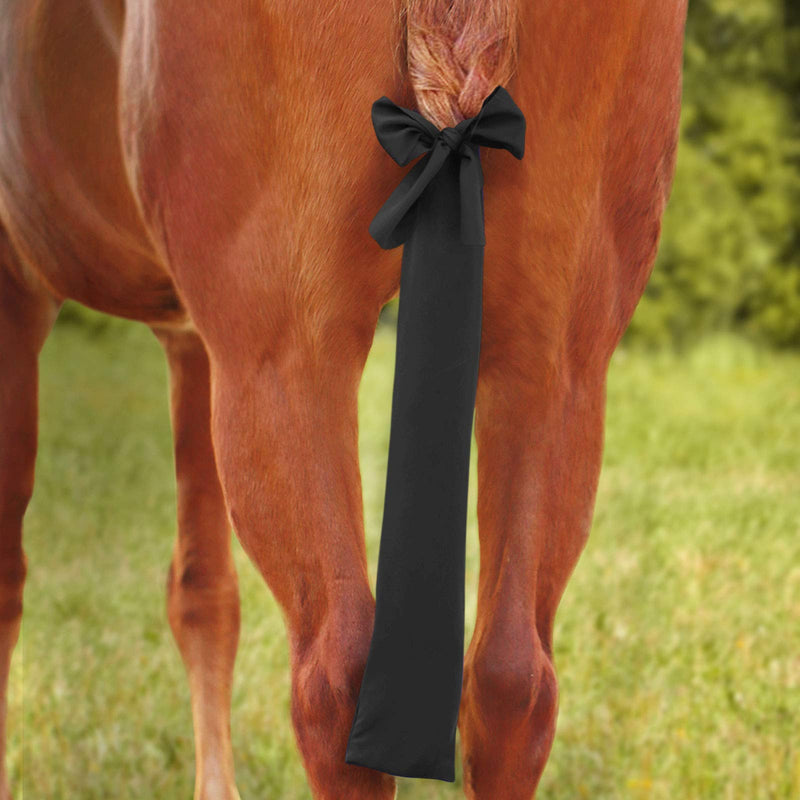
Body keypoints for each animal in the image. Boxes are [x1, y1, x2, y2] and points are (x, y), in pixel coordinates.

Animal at [0, 0, 688, 797]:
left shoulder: (22, 295)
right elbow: (204, 592)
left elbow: (12, 582)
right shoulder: (191, 341)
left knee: (335, 678)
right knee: (513, 680)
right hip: (554, 362)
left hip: (283, 358)